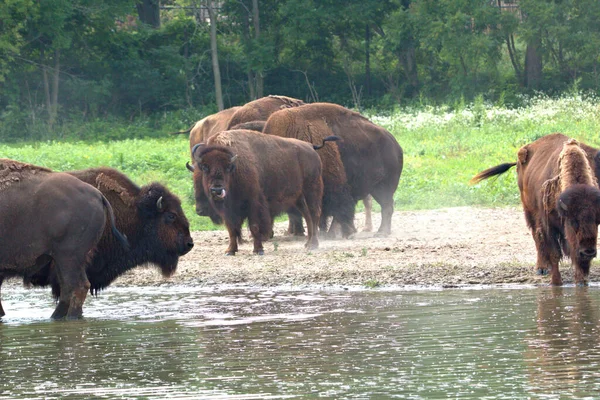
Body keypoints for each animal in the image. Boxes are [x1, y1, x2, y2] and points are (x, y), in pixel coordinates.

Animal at [0, 159, 127, 318]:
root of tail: (97, 194)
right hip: (64, 259)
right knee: (69, 288)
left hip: (68, 257)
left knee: (76, 286)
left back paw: (68, 317)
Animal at [191, 130, 336, 255]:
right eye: (205, 167)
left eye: (227, 167)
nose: (217, 190)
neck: (236, 168)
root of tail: (311, 147)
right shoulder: (229, 211)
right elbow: (231, 229)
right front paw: (230, 251)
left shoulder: (254, 203)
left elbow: (255, 226)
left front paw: (258, 250)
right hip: (299, 197)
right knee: (307, 216)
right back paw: (307, 243)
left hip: (312, 188)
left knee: (314, 214)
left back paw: (313, 245)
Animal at [262, 101, 404, 238]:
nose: (268, 234)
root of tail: (395, 144)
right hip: (374, 188)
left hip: (383, 187)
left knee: (386, 206)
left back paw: (381, 232)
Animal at [472, 134, 600, 284]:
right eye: (573, 222)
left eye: (597, 222)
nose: (589, 252)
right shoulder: (548, 224)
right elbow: (554, 253)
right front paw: (556, 282)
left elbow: (575, 257)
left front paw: (581, 282)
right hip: (529, 210)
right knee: (536, 236)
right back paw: (542, 268)